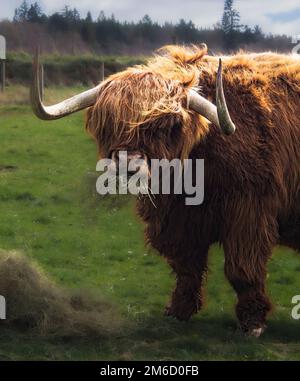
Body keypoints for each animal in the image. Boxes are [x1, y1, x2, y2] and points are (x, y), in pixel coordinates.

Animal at [30, 45, 300, 336]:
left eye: (164, 127)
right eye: (109, 125)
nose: (127, 166)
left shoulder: (248, 212)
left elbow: (242, 269)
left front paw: (252, 323)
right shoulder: (177, 220)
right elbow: (186, 267)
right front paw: (178, 312)